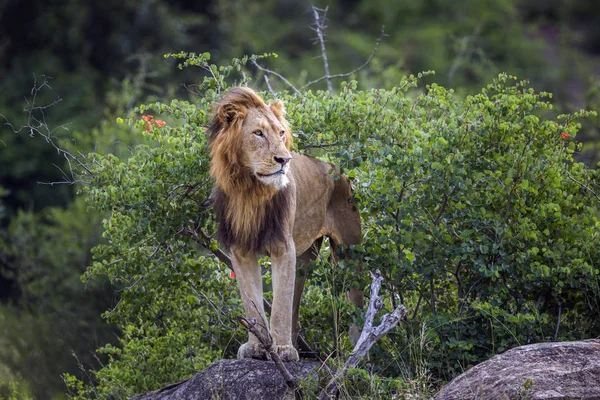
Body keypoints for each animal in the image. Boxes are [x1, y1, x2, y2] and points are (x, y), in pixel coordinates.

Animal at [209, 87, 364, 362]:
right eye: (258, 133)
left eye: (281, 133)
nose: (284, 159)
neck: (249, 190)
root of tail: (337, 169)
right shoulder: (240, 251)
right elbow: (251, 303)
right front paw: (256, 347)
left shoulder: (283, 247)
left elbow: (280, 304)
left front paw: (281, 349)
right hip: (304, 258)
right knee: (295, 306)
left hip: (349, 252)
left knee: (357, 310)